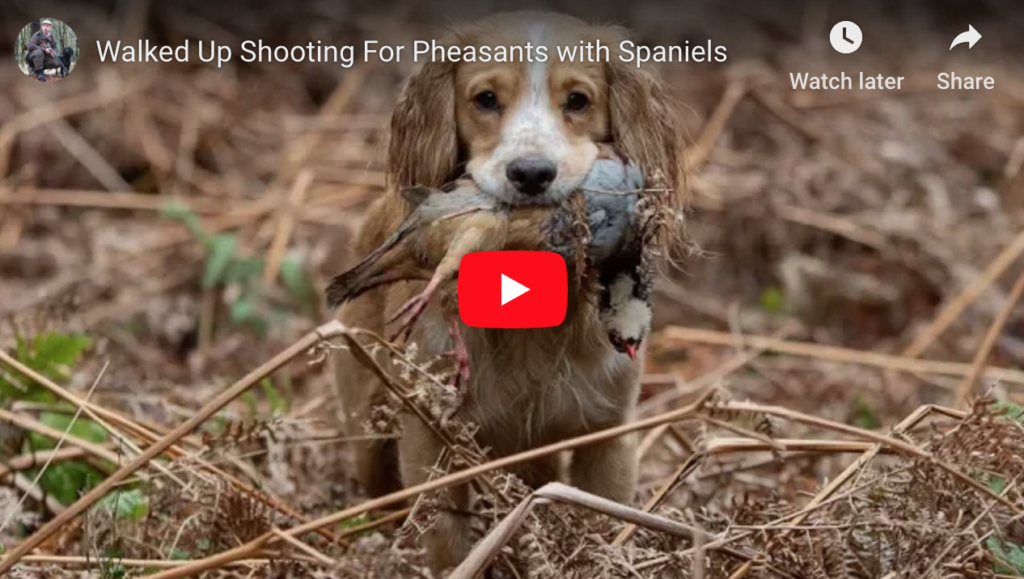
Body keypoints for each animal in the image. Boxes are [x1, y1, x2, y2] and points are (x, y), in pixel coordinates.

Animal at [331, 10, 684, 573]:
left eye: (578, 100)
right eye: (485, 99)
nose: (531, 175)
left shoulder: (608, 434)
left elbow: (600, 525)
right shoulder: (429, 438)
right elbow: (446, 537)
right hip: (368, 429)